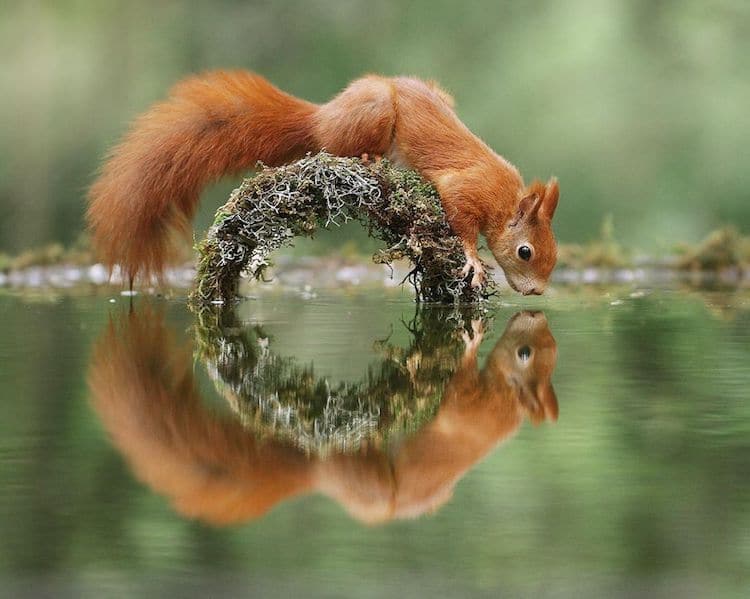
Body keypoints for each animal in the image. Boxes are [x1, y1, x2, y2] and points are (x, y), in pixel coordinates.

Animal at [86, 71, 560, 296]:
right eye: (526, 252)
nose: (537, 293)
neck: (505, 199)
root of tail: (323, 115)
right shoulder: (466, 189)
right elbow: (460, 220)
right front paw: (474, 260)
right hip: (373, 113)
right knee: (339, 146)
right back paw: (365, 156)